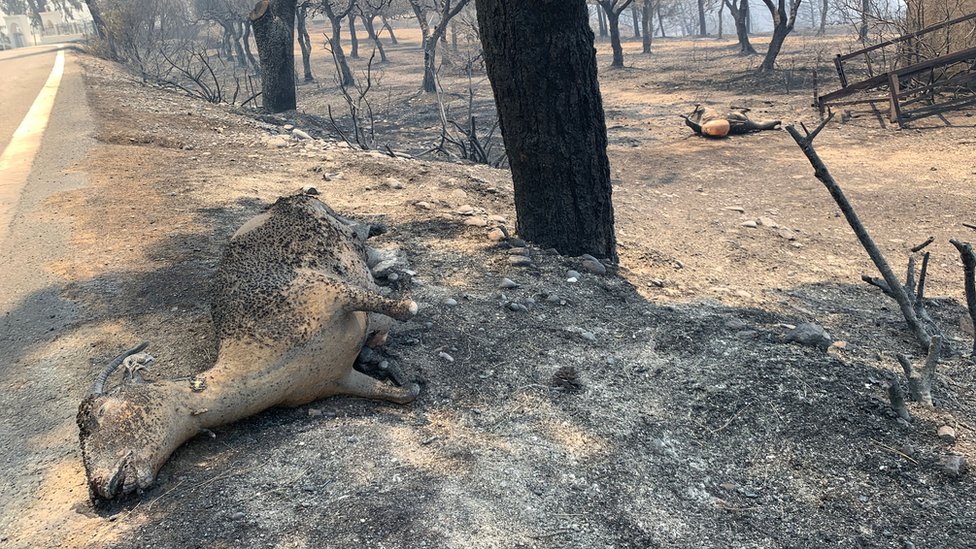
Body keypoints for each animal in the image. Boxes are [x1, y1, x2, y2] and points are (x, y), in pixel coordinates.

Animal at [73, 194, 416, 500]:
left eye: (102, 411)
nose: (101, 486)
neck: (265, 360)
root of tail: (293, 197)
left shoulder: (329, 291)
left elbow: (397, 306)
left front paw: (403, 302)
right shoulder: (336, 380)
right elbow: (401, 395)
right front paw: (399, 377)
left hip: (335, 225)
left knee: (359, 230)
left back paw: (382, 239)